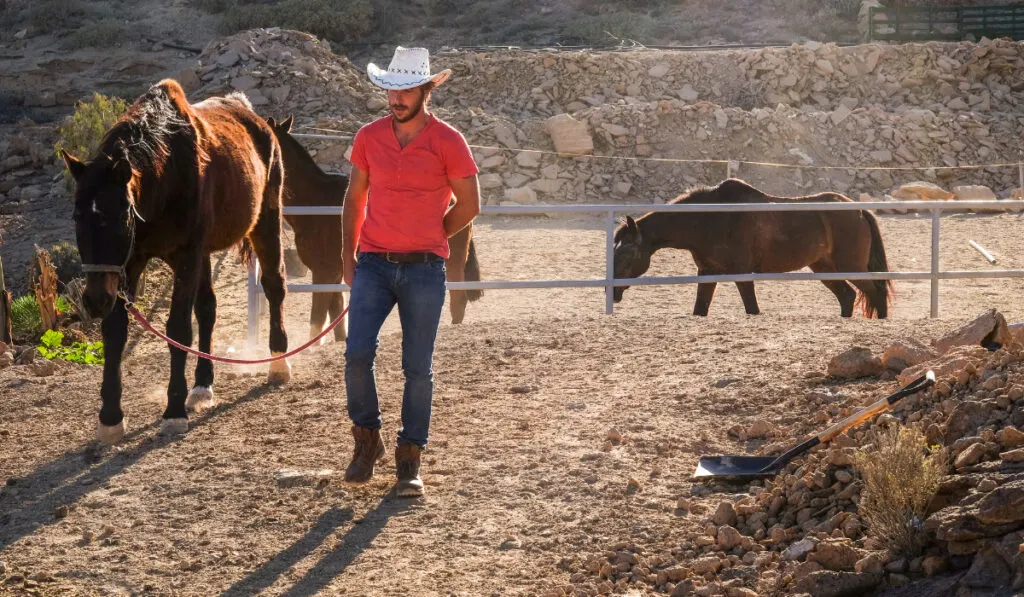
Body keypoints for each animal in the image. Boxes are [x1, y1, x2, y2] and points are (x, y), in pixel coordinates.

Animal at [61, 78, 290, 444]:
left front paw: (173, 411)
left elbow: (178, 329)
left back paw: (279, 362)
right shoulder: (130, 264)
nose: (95, 300)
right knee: (208, 308)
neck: (165, 175)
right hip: (204, 254)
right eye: (77, 217)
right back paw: (202, 385)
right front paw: (111, 416)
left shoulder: (185, 257)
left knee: (274, 285)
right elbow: (115, 331)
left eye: (121, 217)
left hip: (265, 223)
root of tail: (258, 120)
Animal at [610, 177, 892, 317]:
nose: (612, 291)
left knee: (876, 294)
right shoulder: (707, 272)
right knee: (848, 297)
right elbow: (700, 309)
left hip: (851, 267)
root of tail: (858, 210)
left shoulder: (742, 273)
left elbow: (752, 309)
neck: (708, 218)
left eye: (626, 253)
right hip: (825, 269)